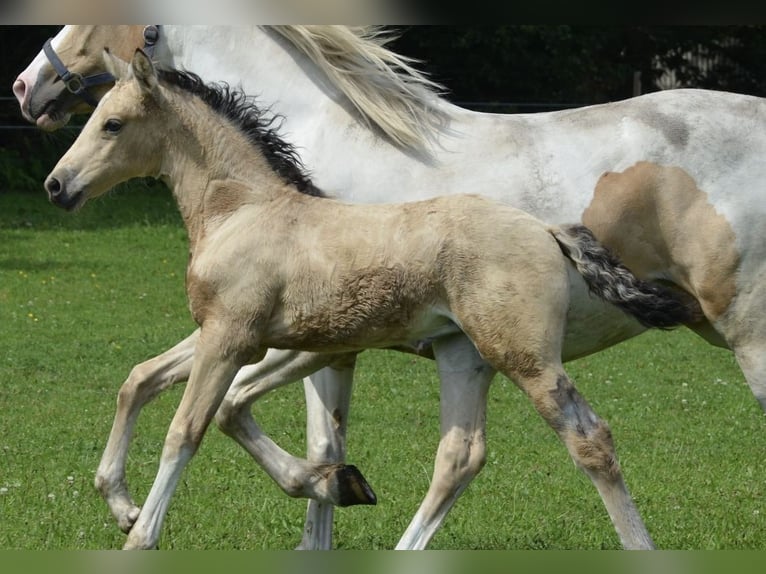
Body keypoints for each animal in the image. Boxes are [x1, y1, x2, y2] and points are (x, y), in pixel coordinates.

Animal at [12, 24, 766, 552]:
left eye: (112, 123)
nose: (56, 184)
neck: (249, 208)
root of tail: (548, 229)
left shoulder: (237, 337)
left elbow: (191, 427)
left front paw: (140, 532)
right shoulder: (283, 341)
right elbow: (166, 389)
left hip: (544, 355)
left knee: (589, 440)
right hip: (470, 357)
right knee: (463, 455)